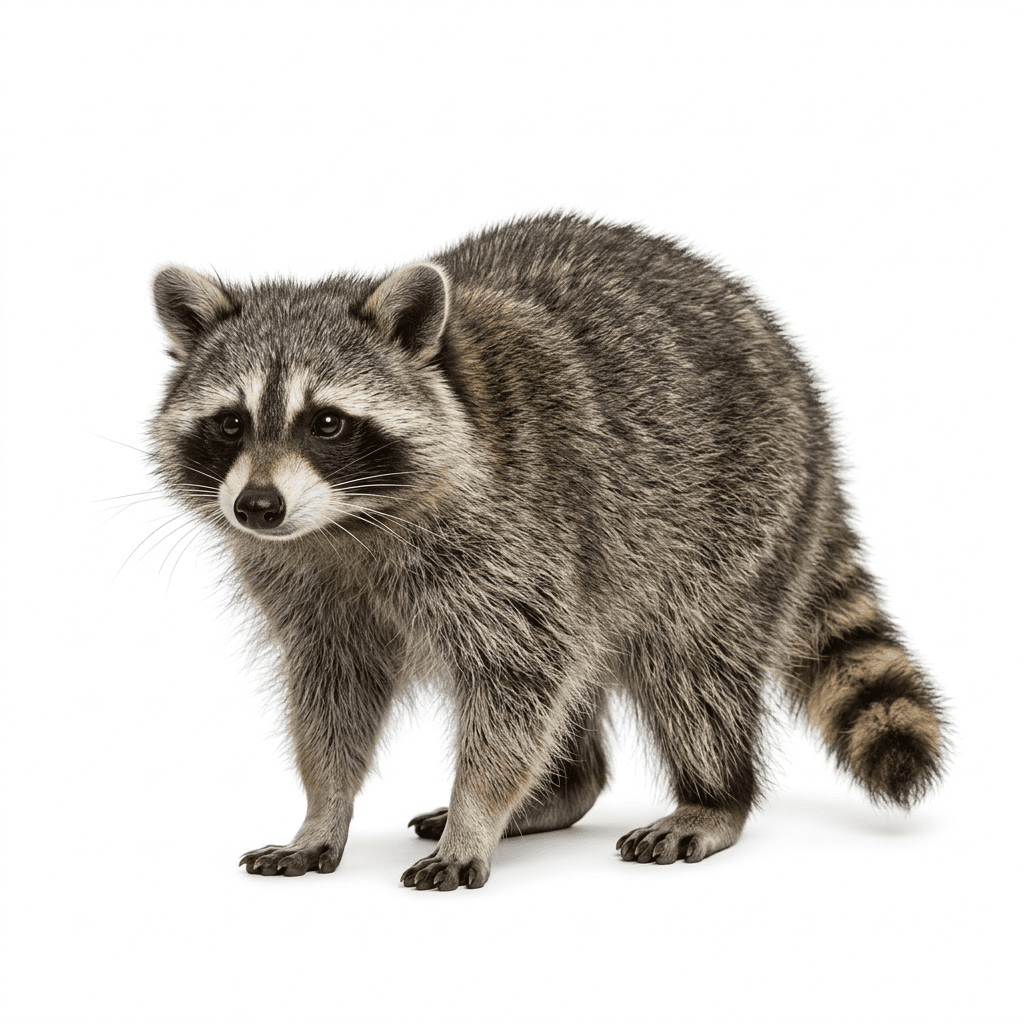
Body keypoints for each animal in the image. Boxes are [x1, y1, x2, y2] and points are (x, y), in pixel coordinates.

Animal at [151, 214, 946, 890]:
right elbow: (331, 696)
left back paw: (714, 794)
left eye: (327, 423)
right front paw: (322, 810)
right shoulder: (308, 588)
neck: (348, 526)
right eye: (230, 423)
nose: (257, 507)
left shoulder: (516, 536)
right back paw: (563, 788)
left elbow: (517, 686)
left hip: (737, 514)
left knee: (694, 665)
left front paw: (476, 815)